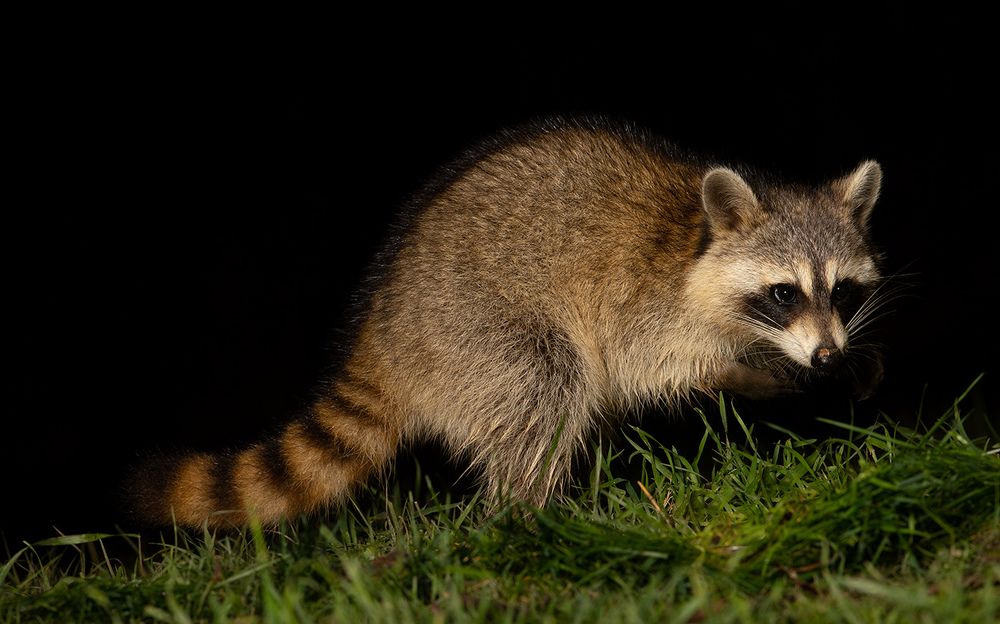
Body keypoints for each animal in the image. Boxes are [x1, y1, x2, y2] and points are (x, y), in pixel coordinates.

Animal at [130, 120, 885, 528]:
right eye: (783, 293)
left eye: (842, 290)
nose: (825, 357)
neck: (696, 242)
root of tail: (382, 331)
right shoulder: (642, 304)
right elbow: (666, 367)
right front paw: (757, 375)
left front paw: (845, 368)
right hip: (474, 328)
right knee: (545, 385)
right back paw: (531, 515)